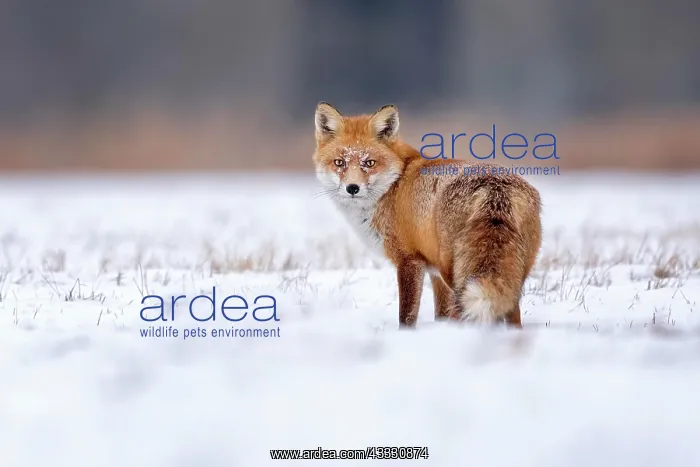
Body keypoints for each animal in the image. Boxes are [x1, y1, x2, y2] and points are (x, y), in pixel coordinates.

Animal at [312, 102, 542, 328]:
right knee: (511, 312)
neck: (393, 186)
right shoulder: (434, 272)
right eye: (339, 162)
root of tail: (495, 188)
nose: (352, 188)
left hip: (454, 271)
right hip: (512, 274)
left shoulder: (409, 260)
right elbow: (441, 313)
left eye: (369, 163)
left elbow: (407, 315)